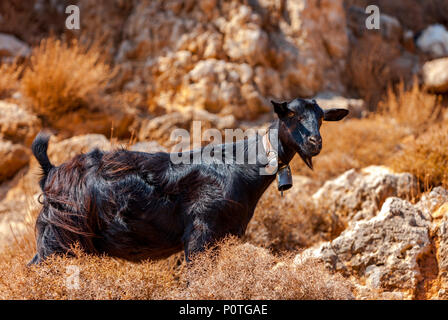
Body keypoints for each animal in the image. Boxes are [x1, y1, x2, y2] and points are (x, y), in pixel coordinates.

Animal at [28, 99, 350, 264]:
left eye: (322, 118)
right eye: (291, 115)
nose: (315, 142)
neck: (243, 163)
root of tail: (52, 171)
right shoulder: (201, 232)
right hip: (60, 240)